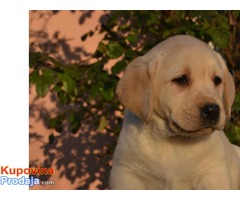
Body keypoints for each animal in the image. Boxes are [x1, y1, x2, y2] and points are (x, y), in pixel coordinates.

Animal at [109, 35, 240, 190]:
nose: (213, 110)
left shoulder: (212, 174)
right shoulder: (127, 173)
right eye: (181, 79)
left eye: (217, 80)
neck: (172, 140)